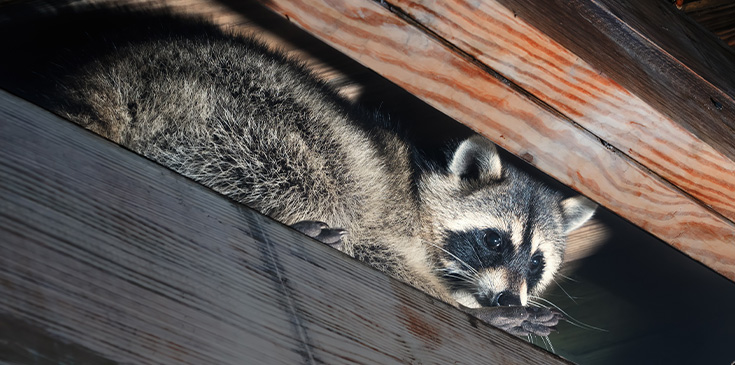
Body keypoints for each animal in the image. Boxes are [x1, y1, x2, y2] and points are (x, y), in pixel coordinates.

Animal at [0, 5, 600, 336]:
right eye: (495, 241)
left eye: (537, 262)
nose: (507, 300)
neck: (419, 189)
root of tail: (116, 70)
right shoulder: (390, 217)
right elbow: (375, 247)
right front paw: (459, 302)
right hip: (240, 115)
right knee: (318, 180)